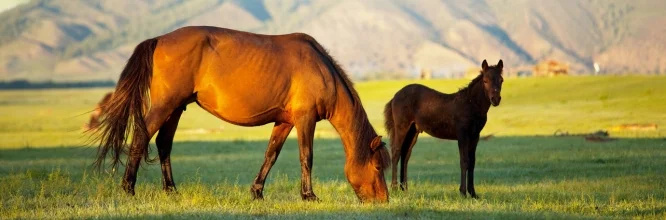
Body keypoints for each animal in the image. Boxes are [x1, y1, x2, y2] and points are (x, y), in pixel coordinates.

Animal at [93, 26, 390, 204]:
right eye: (378, 167)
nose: (384, 200)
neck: (321, 69)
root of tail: (158, 40)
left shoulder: (284, 122)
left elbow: (270, 155)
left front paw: (257, 192)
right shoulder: (305, 120)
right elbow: (306, 156)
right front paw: (308, 195)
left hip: (176, 108)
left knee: (164, 144)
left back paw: (171, 189)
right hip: (165, 105)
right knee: (141, 137)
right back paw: (128, 187)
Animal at [382, 59, 500, 199]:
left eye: (501, 80)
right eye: (485, 81)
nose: (496, 99)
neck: (470, 104)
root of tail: (395, 96)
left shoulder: (475, 136)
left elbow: (472, 163)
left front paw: (473, 193)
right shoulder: (462, 136)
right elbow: (464, 161)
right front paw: (463, 192)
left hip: (413, 131)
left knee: (405, 155)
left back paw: (404, 189)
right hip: (402, 127)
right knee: (396, 152)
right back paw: (394, 188)